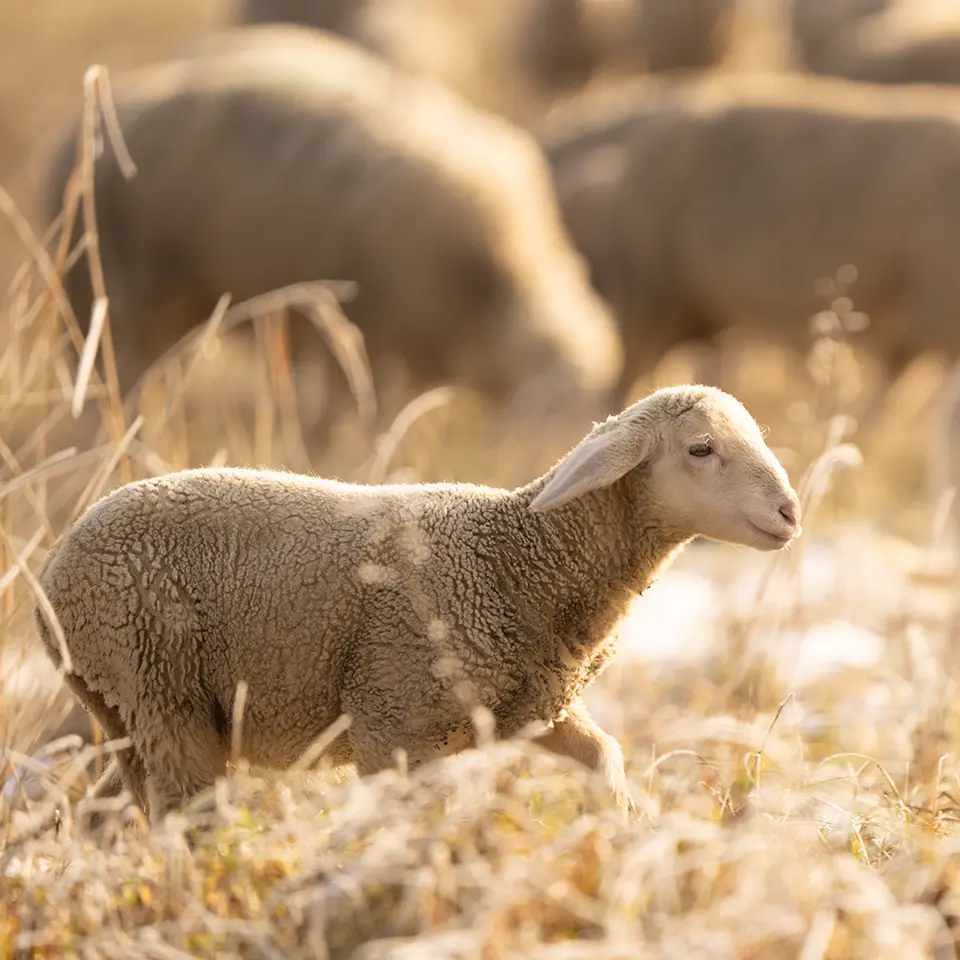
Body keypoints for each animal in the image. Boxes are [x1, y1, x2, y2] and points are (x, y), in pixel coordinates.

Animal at [33, 384, 801, 825]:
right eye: (701, 449)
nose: (791, 513)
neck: (522, 556)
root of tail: (48, 583)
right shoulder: (391, 721)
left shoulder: (527, 706)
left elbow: (603, 755)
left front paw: (623, 825)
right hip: (159, 688)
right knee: (186, 818)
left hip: (123, 711)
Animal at [43, 24, 623, 465]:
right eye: (553, 407)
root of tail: (67, 138)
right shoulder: (372, 340)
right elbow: (352, 416)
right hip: (109, 305)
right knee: (107, 390)